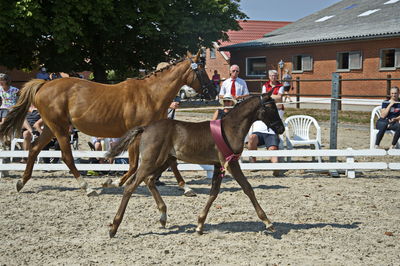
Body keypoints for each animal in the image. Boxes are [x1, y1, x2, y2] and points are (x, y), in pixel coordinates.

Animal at [0, 52, 211, 197]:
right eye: (201, 70)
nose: (211, 90)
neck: (151, 94)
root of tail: (44, 85)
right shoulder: (137, 135)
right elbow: (133, 165)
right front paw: (113, 182)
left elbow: (170, 162)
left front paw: (187, 187)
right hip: (60, 129)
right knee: (66, 157)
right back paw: (87, 188)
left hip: (50, 128)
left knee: (35, 148)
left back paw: (21, 182)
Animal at [106, 93, 284, 237]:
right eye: (271, 108)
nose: (281, 128)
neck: (230, 129)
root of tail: (146, 128)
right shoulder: (231, 163)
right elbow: (247, 188)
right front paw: (268, 222)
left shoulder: (218, 165)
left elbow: (214, 192)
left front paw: (199, 224)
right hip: (151, 161)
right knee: (131, 186)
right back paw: (114, 226)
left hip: (163, 161)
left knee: (149, 180)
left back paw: (163, 216)